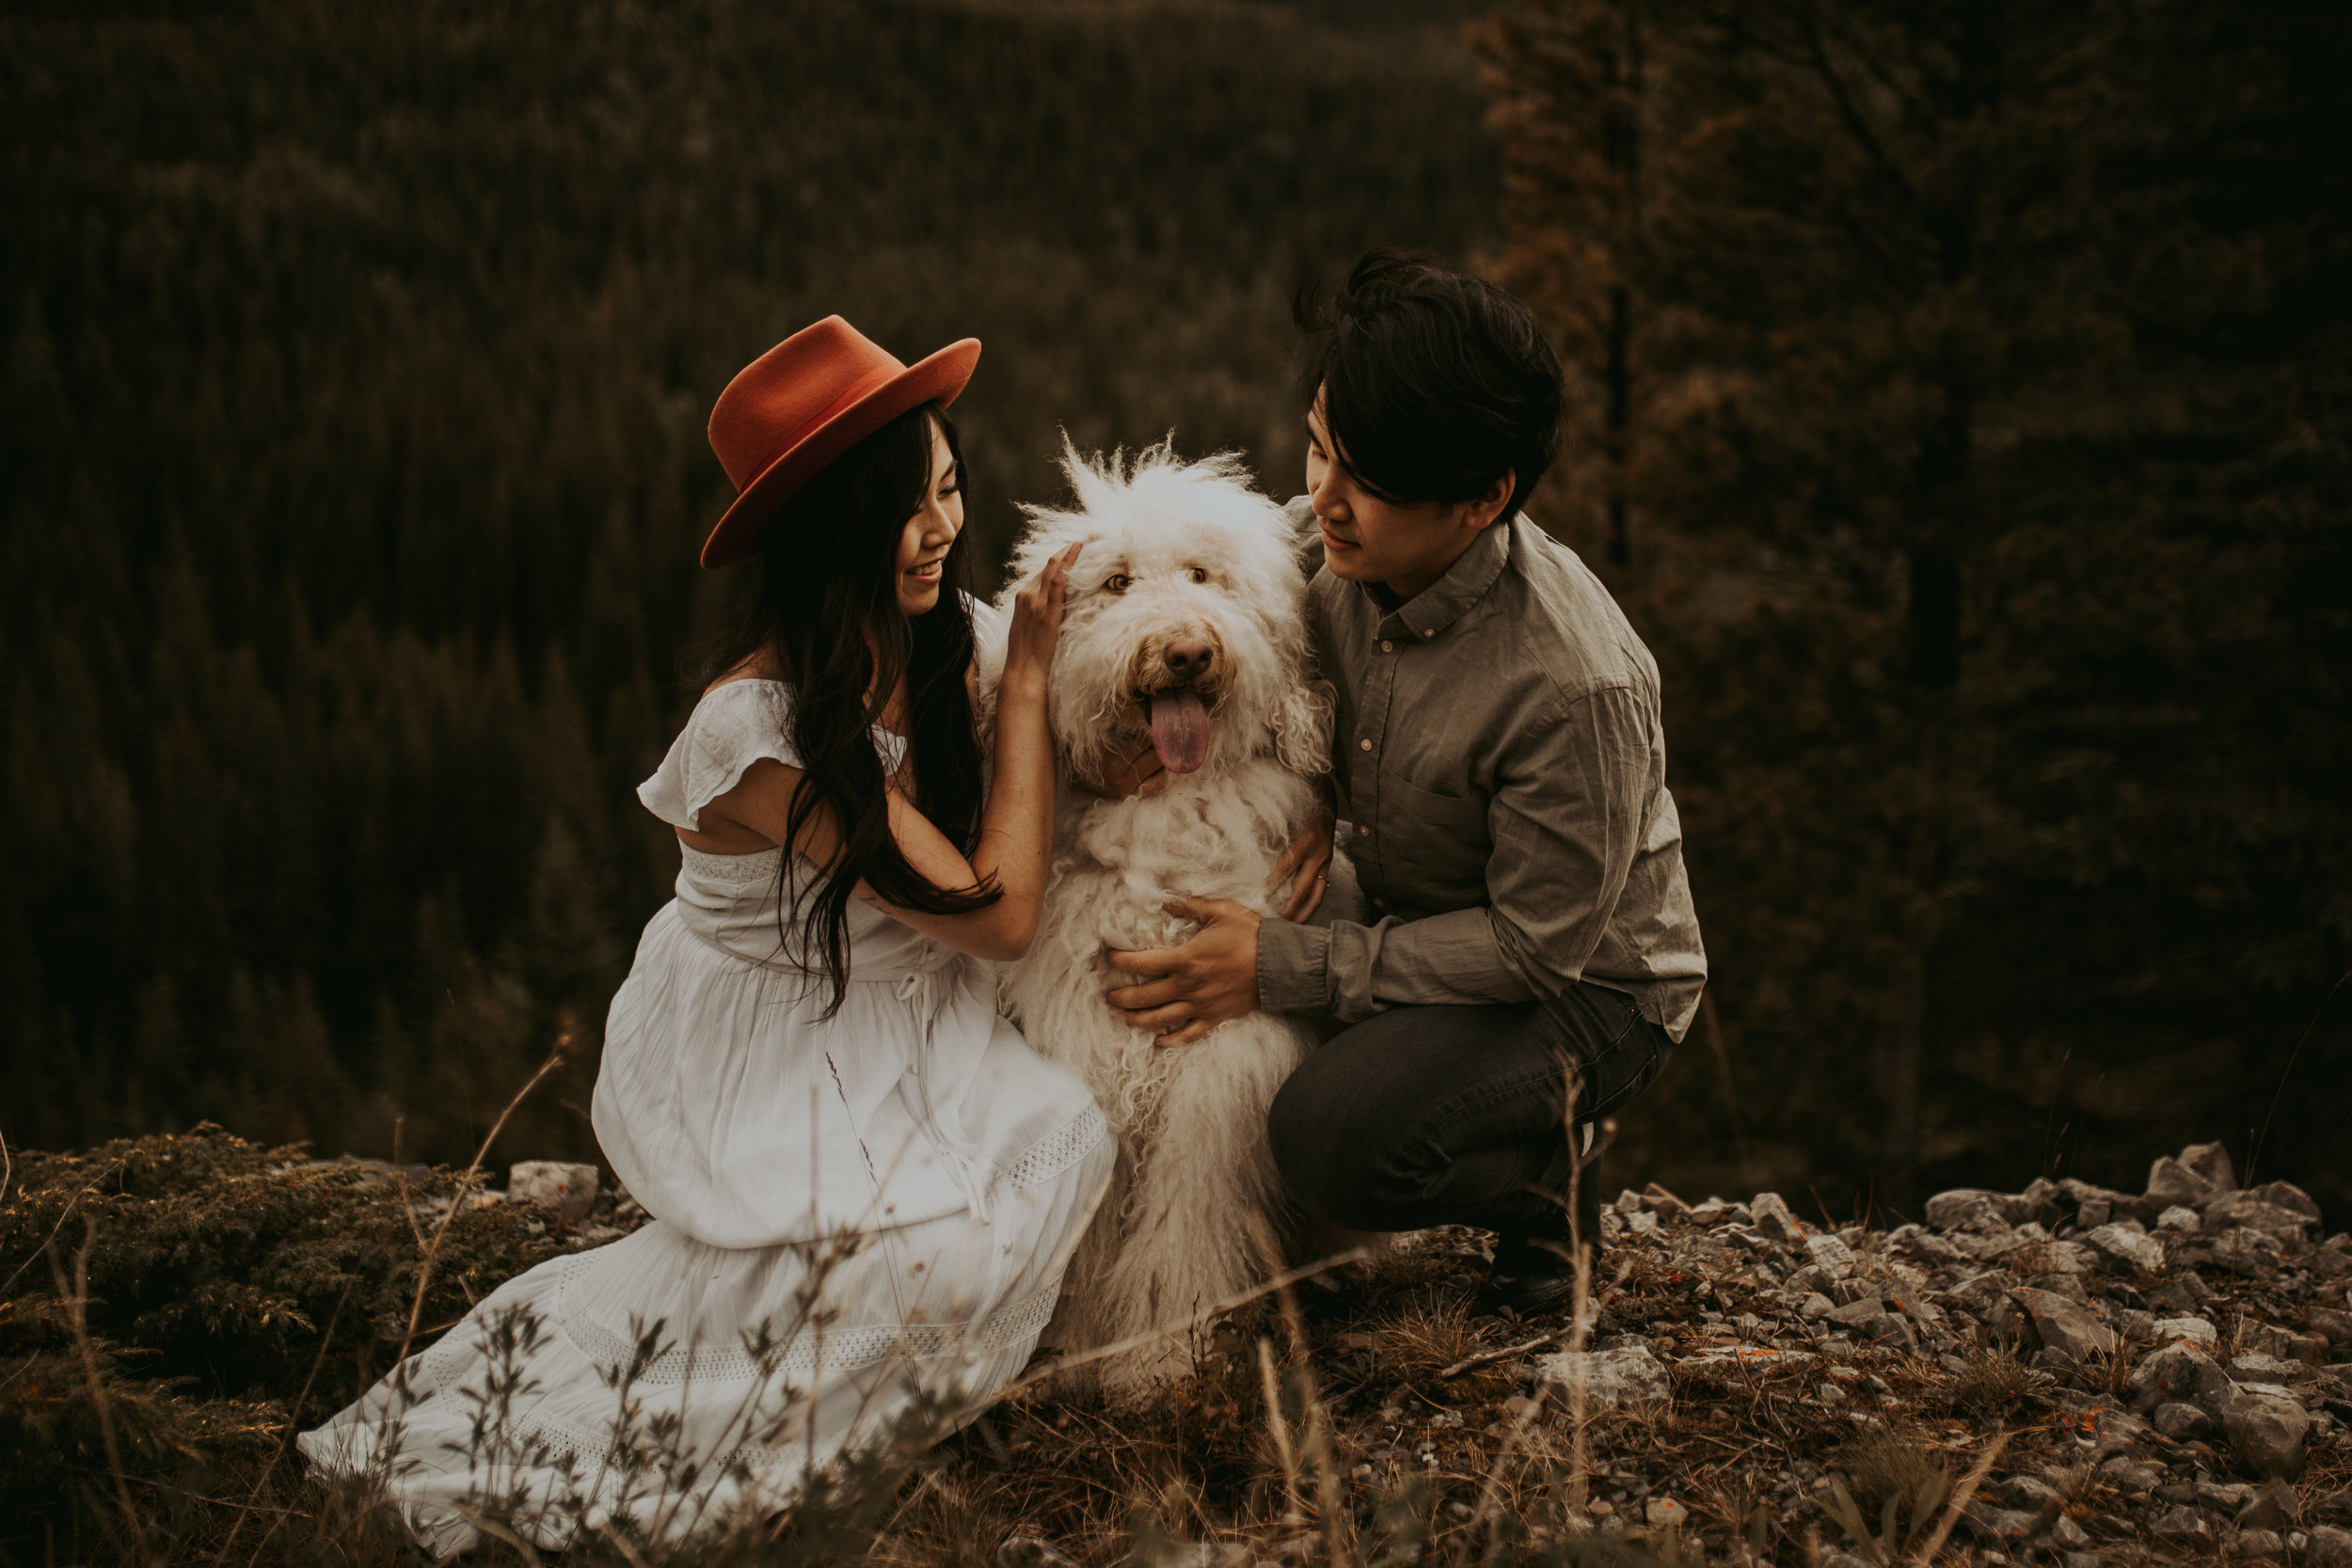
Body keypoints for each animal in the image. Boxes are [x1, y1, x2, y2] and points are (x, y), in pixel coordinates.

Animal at [983, 441, 1364, 1401]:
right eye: (1116, 582)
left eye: (1203, 574)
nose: (1187, 651)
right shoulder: (1086, 1041)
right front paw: (1078, 1341)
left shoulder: (1220, 1063)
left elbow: (1189, 1214)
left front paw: (1162, 1350)